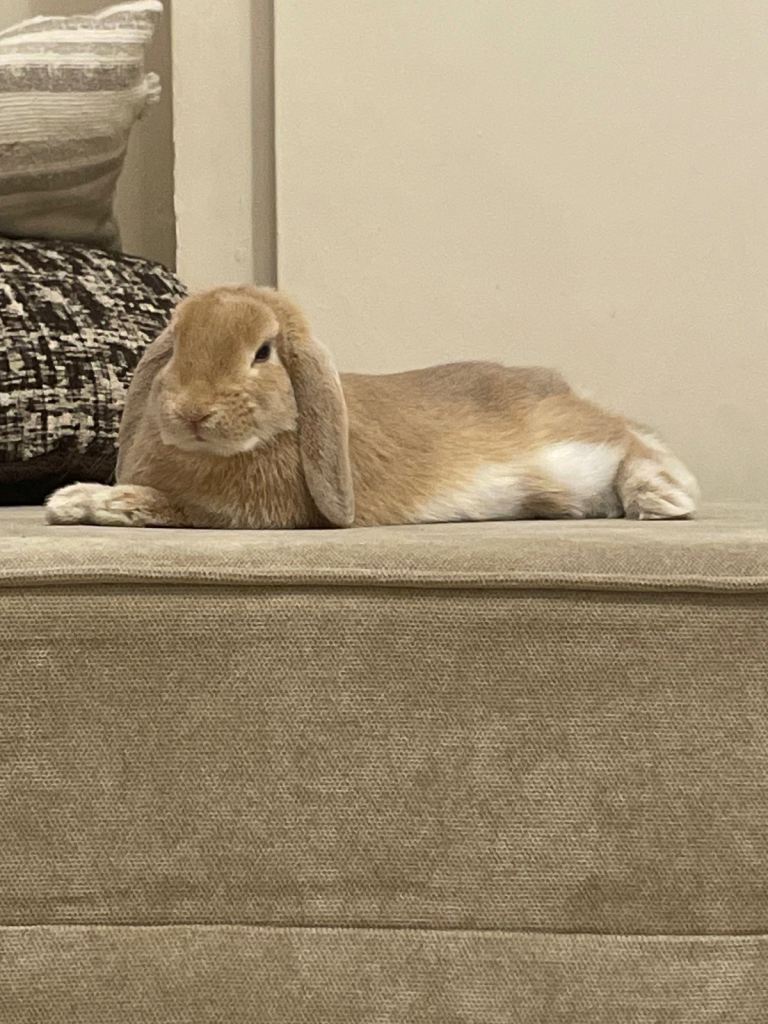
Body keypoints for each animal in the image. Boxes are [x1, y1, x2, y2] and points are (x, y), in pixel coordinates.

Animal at [45, 286, 699, 529]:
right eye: (176, 346)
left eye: (263, 352)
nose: (193, 413)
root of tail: (563, 389)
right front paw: (71, 501)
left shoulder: (246, 513)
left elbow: (167, 505)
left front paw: (85, 500)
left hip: (570, 449)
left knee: (635, 444)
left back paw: (664, 498)